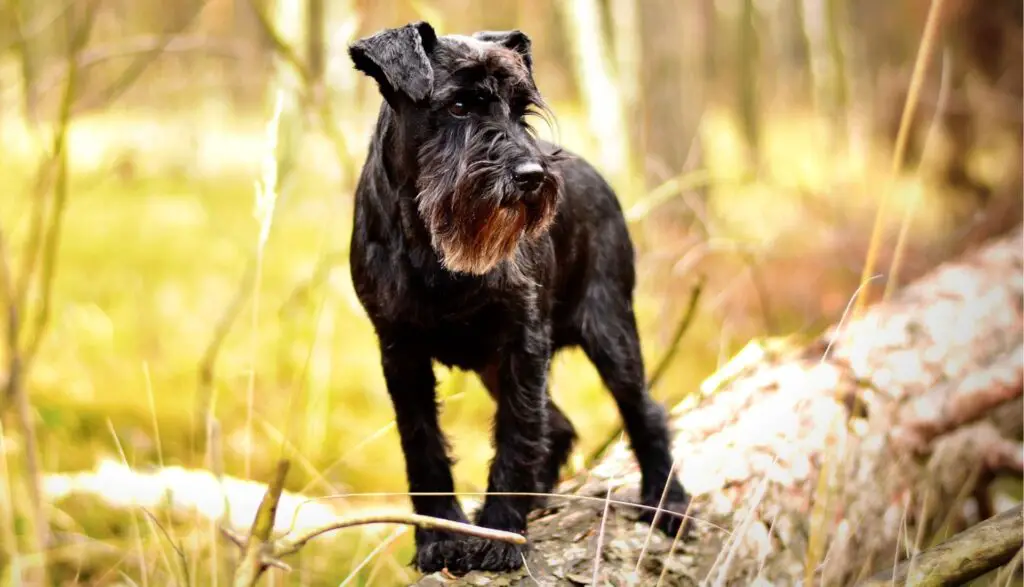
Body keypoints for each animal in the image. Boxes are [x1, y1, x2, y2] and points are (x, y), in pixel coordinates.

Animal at [348, 21, 692, 573]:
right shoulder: (400, 352)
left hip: (612, 333)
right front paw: (440, 538)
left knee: (644, 411)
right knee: (561, 426)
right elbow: (422, 443)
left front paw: (500, 535)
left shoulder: (522, 344)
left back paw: (668, 502)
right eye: (459, 106)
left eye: (520, 108)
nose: (532, 176)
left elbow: (516, 433)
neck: (431, 248)